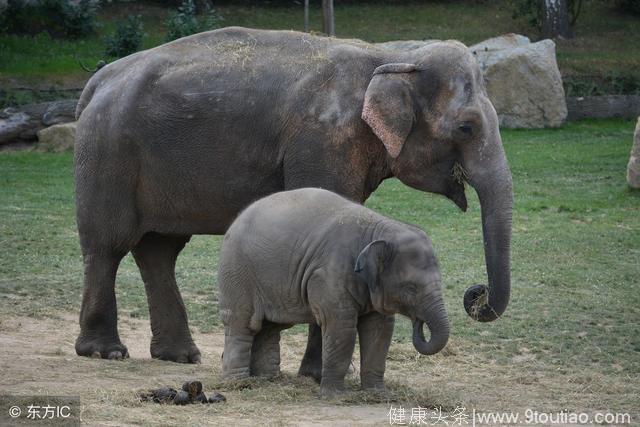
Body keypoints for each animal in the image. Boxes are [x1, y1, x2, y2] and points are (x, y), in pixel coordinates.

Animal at [75, 27, 512, 374]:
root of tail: (98, 80)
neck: (393, 58)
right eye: (467, 127)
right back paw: (105, 352)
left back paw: (180, 357)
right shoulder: (323, 140)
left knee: (160, 250)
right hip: (107, 153)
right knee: (108, 245)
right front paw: (316, 376)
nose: (475, 293)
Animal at [220, 189, 450, 396]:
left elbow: (380, 330)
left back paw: (268, 379)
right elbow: (341, 326)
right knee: (242, 323)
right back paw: (238, 383)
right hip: (237, 273)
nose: (419, 321)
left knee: (270, 327)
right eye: (410, 288)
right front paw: (335, 396)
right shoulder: (330, 274)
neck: (377, 230)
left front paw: (378, 394)